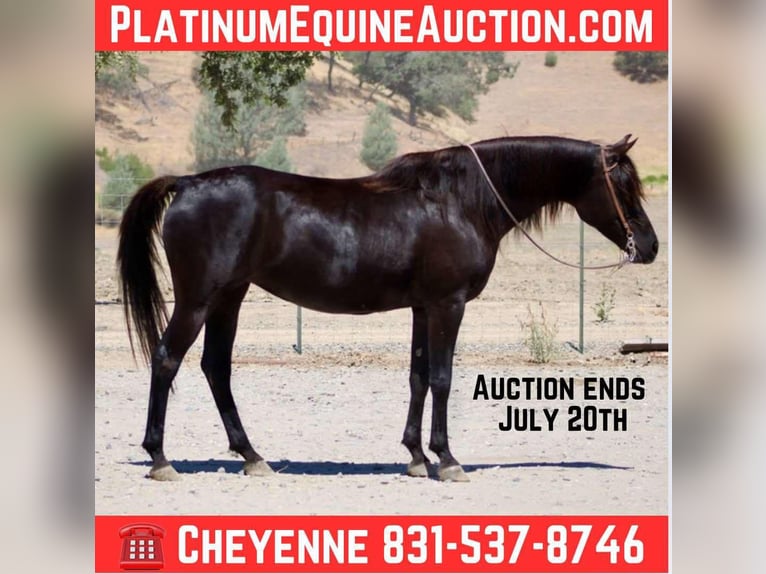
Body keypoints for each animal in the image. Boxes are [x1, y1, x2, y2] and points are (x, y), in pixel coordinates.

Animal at [117, 135, 658, 482]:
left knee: (216, 367)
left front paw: (416, 457)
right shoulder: (448, 305)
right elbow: (442, 378)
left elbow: (418, 377)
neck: (461, 201)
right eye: (624, 186)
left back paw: (252, 456)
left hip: (229, 297)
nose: (650, 247)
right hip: (198, 300)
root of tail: (188, 183)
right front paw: (447, 459)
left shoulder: (422, 308)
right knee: (167, 360)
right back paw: (161, 459)